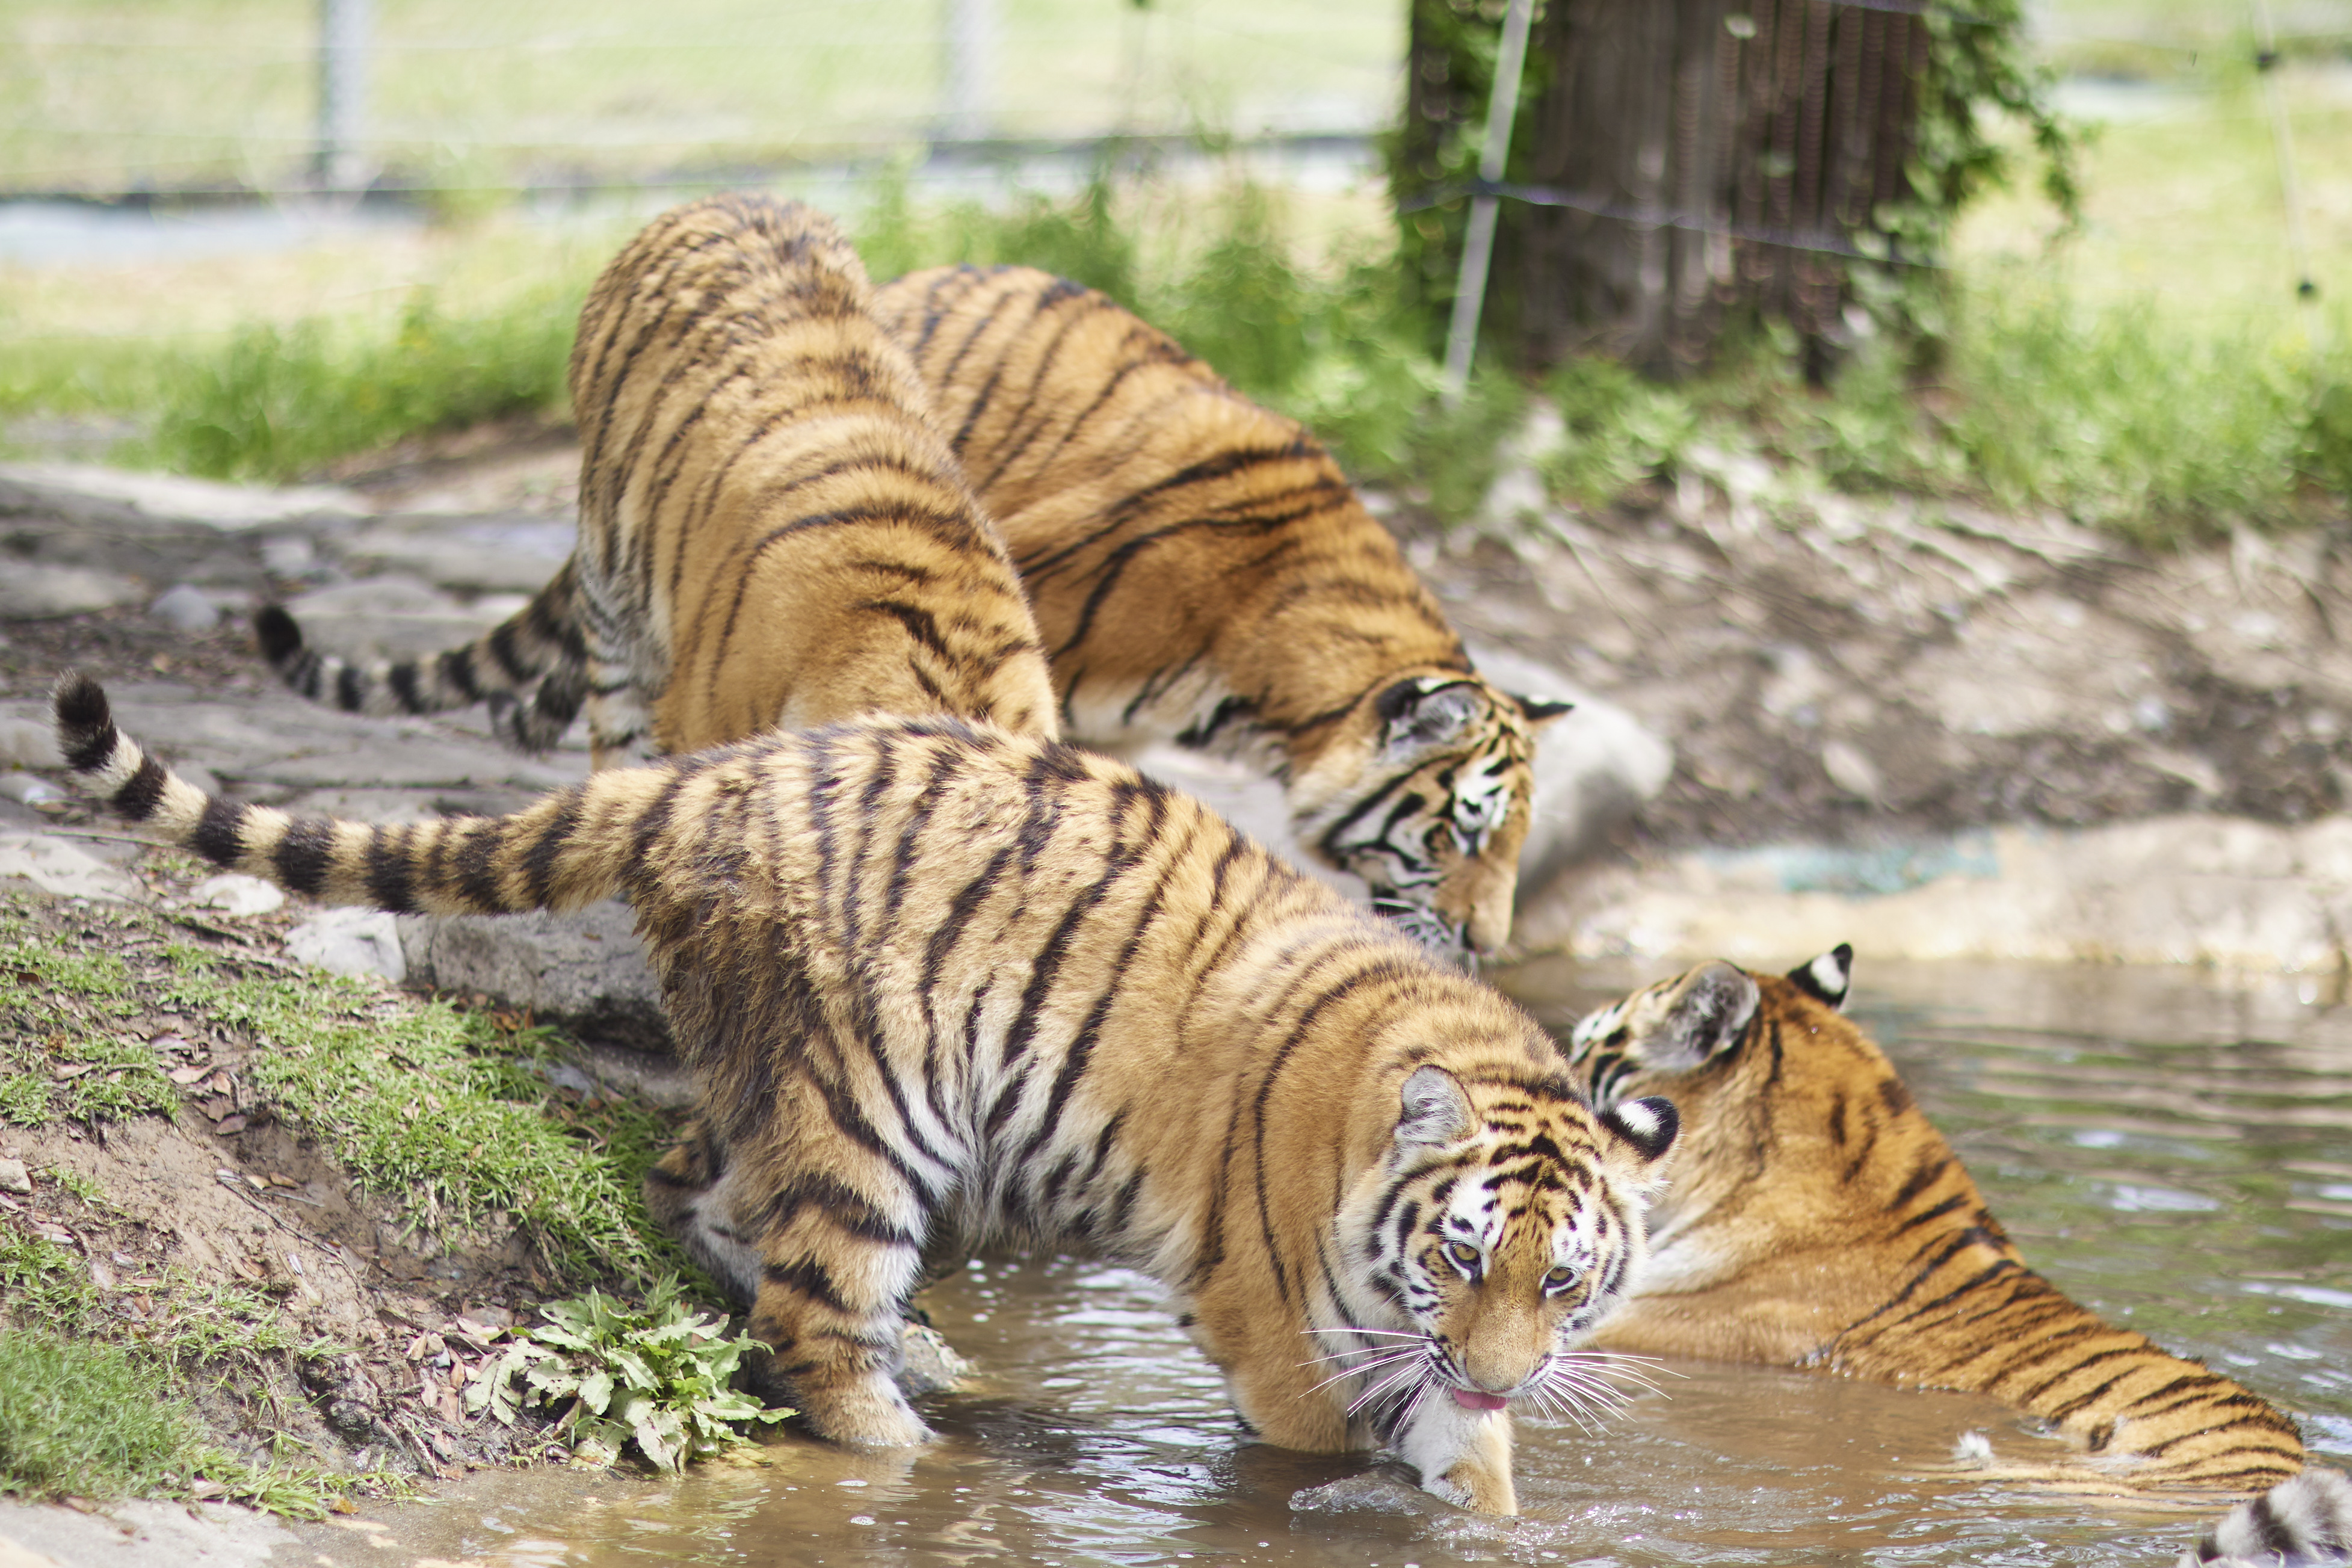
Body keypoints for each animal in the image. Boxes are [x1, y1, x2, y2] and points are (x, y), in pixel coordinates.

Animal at [55, 671, 1679, 1516]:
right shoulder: (1274, 1323)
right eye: (1459, 1256)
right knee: (811, 1311)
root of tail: (710, 775)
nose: (1499, 1365)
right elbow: (1345, 1436)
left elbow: (1476, 1466)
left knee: (693, 1188)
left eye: (1563, 1282)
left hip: (766, 1068)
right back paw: (902, 1440)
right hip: (869, 1095)